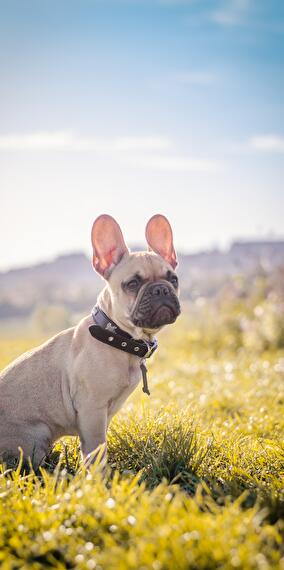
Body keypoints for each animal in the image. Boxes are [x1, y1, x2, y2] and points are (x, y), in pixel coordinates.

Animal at [0, 213, 181, 466]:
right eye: (133, 284)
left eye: (173, 279)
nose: (160, 290)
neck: (118, 335)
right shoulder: (92, 409)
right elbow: (96, 448)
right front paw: (99, 475)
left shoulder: (102, 415)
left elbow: (97, 444)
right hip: (34, 438)